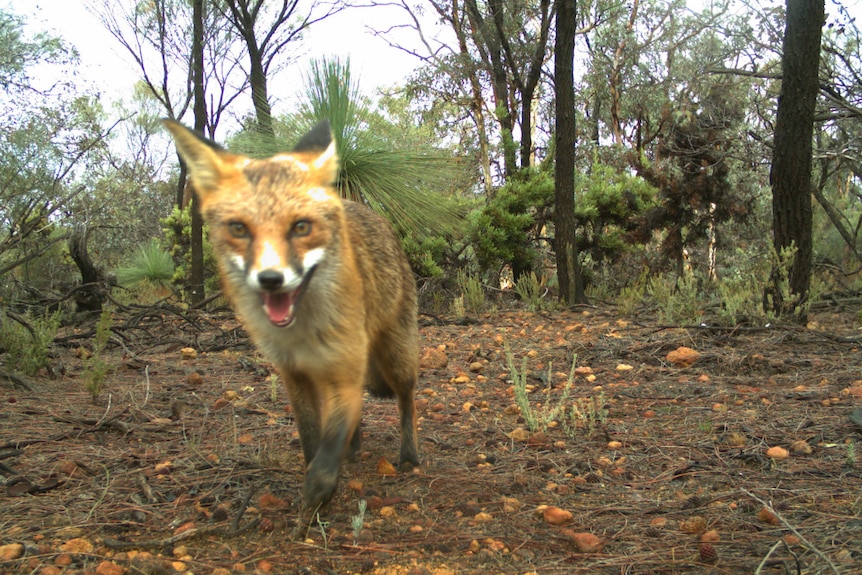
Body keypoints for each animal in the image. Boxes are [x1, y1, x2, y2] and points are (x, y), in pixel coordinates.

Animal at [164, 119, 420, 510]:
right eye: (239, 229)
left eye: (301, 227)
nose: (271, 279)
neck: (303, 333)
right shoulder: (293, 372)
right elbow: (311, 437)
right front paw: (315, 491)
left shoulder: (344, 363)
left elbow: (329, 447)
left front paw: (319, 493)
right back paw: (355, 447)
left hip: (396, 358)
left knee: (406, 400)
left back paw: (409, 455)